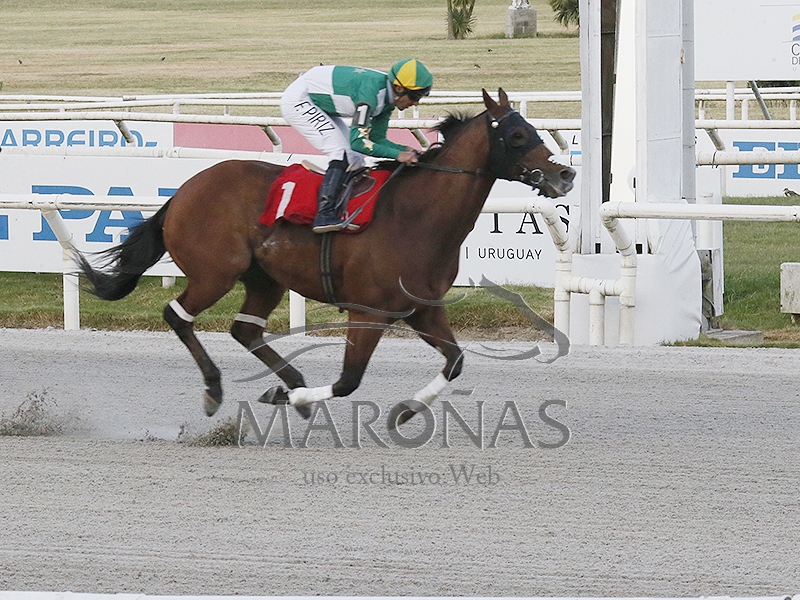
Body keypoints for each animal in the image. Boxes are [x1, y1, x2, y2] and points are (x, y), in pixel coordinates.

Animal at [76, 88, 575, 428]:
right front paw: (290, 398)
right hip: (215, 272)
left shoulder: (423, 309)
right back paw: (216, 389)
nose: (566, 174)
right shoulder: (367, 312)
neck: (415, 217)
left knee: (245, 329)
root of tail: (183, 191)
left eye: (534, 130)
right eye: (516, 135)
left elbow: (455, 362)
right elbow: (348, 380)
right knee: (177, 315)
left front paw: (405, 411)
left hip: (265, 278)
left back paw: (291, 379)